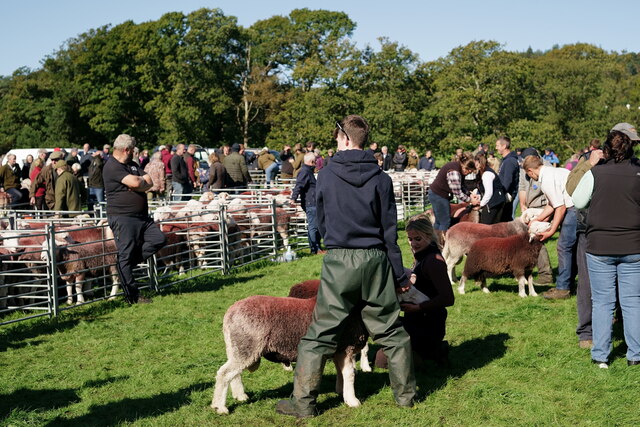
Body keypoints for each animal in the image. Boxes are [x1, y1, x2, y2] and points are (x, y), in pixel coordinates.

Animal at [212, 288, 368, 414]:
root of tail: (229, 312)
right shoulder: (347, 347)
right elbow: (350, 374)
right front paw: (353, 401)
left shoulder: (339, 350)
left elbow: (340, 373)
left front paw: (342, 392)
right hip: (247, 346)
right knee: (224, 374)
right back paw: (220, 407)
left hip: (238, 347)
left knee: (234, 374)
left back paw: (240, 396)